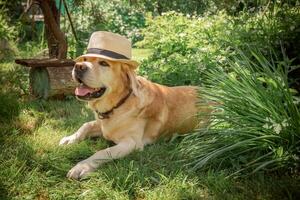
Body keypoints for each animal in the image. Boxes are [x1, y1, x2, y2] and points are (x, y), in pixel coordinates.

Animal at [59, 31, 211, 180]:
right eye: (84, 60)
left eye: (103, 63)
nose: (78, 67)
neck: (120, 103)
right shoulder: (103, 126)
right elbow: (86, 125)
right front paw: (70, 139)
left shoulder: (131, 143)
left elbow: (102, 152)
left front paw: (82, 166)